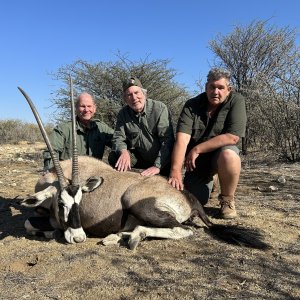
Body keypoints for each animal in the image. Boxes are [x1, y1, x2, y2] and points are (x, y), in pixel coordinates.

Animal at [17, 83, 270, 250]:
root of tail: (187, 197)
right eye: (62, 203)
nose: (79, 237)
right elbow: (29, 222)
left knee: (182, 230)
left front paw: (51, 232)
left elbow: (32, 225)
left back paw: (133, 237)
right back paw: (116, 237)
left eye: (80, 201)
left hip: (138, 204)